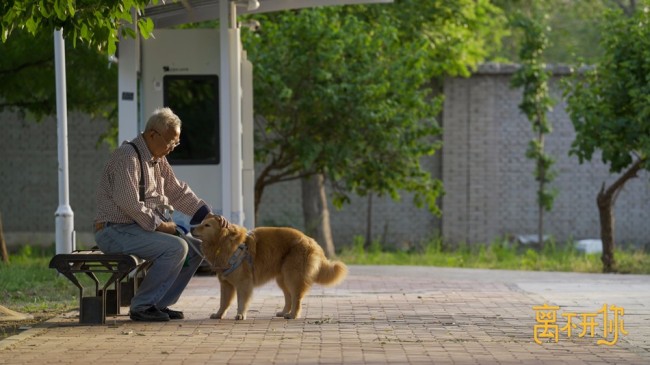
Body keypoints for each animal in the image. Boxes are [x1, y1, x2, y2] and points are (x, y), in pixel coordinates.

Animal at [191, 216, 346, 318]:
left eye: (207, 225)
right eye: (202, 223)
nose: (191, 227)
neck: (223, 243)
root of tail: (311, 241)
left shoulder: (243, 282)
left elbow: (241, 300)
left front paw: (240, 315)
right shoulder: (225, 284)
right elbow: (223, 302)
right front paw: (219, 314)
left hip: (292, 276)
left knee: (296, 297)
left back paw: (293, 315)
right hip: (282, 279)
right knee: (289, 296)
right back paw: (284, 312)